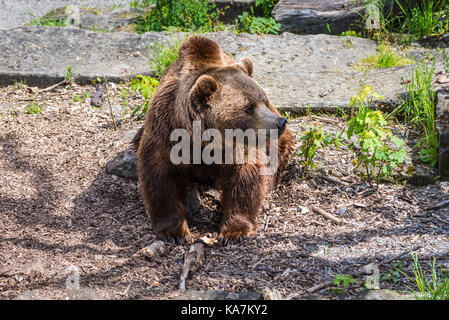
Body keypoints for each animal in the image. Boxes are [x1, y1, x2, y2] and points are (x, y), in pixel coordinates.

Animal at [132, 35, 294, 245]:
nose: (280, 122)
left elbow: (245, 176)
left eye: (264, 100)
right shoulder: (165, 130)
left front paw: (233, 231)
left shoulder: (240, 145)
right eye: (248, 107)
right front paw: (174, 232)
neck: (205, 138)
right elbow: (161, 176)